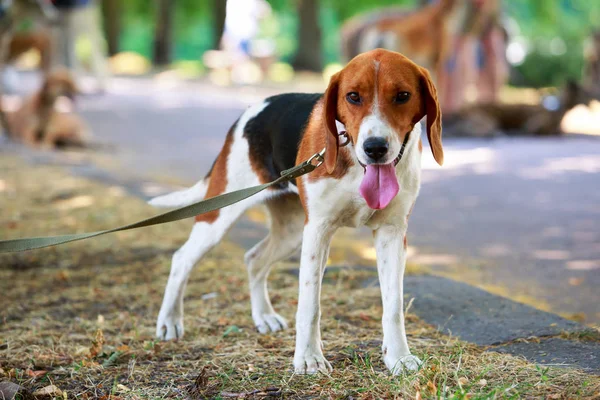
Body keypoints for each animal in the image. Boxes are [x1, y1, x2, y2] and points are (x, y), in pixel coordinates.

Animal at [149, 48, 440, 374]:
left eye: (403, 95)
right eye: (353, 96)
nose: (375, 147)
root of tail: (248, 114)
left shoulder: (391, 233)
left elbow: (393, 305)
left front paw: (399, 357)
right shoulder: (318, 230)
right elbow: (310, 304)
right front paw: (309, 358)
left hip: (290, 233)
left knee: (254, 259)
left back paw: (263, 316)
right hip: (221, 216)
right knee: (182, 258)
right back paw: (169, 321)